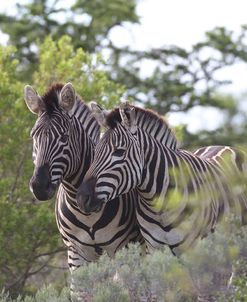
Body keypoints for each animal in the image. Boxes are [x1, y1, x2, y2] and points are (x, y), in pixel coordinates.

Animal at [24, 84, 143, 300]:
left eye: (64, 137)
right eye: (33, 136)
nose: (39, 186)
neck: (86, 212)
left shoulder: (123, 247)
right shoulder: (76, 253)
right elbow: (81, 293)